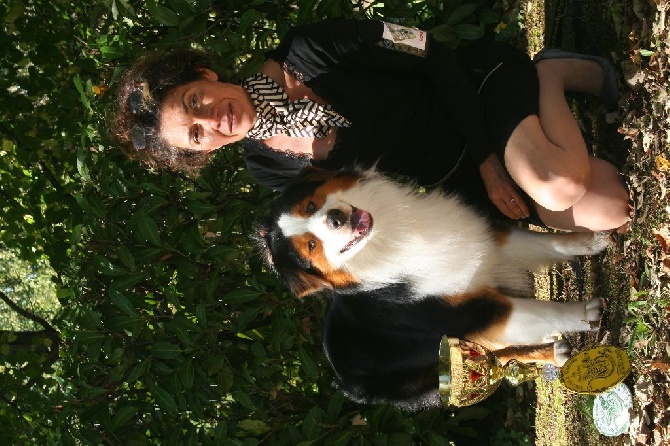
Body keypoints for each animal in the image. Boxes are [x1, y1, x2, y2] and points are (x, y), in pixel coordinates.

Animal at [256, 167, 608, 412]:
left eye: (310, 205)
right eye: (311, 246)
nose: (335, 218)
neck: (386, 241)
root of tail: (339, 380)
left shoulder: (481, 246)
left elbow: (548, 243)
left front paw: (592, 239)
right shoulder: (471, 314)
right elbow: (545, 312)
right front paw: (587, 312)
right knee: (501, 355)